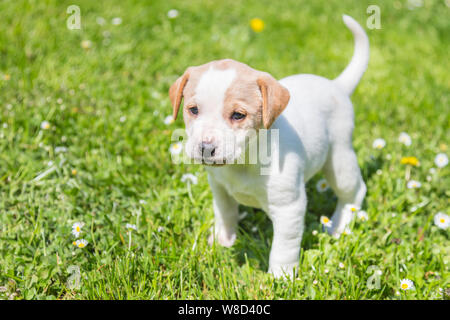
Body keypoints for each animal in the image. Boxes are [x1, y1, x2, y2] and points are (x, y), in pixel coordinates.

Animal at [169, 15, 370, 278]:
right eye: (193, 110)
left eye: (238, 115)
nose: (205, 148)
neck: (244, 162)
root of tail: (336, 86)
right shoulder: (219, 188)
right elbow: (225, 213)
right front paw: (223, 241)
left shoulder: (289, 208)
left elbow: (283, 247)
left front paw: (281, 277)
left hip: (339, 159)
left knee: (354, 192)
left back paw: (340, 225)